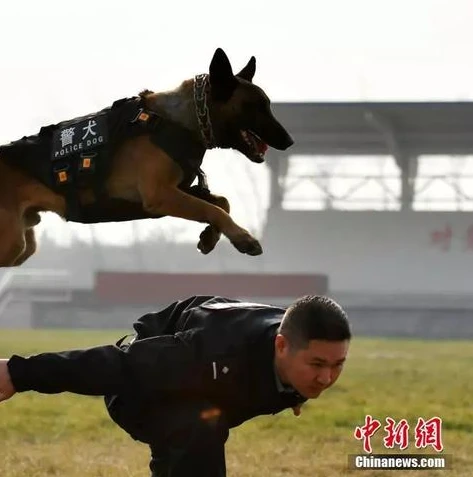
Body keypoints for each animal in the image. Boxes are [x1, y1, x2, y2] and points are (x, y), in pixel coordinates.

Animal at [0, 48, 294, 268]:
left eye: (267, 105)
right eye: (256, 107)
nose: (289, 141)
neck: (182, 120)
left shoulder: (179, 191)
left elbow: (222, 203)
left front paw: (211, 237)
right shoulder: (161, 195)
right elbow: (213, 208)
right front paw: (243, 238)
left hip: (23, 245)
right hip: (13, 243)